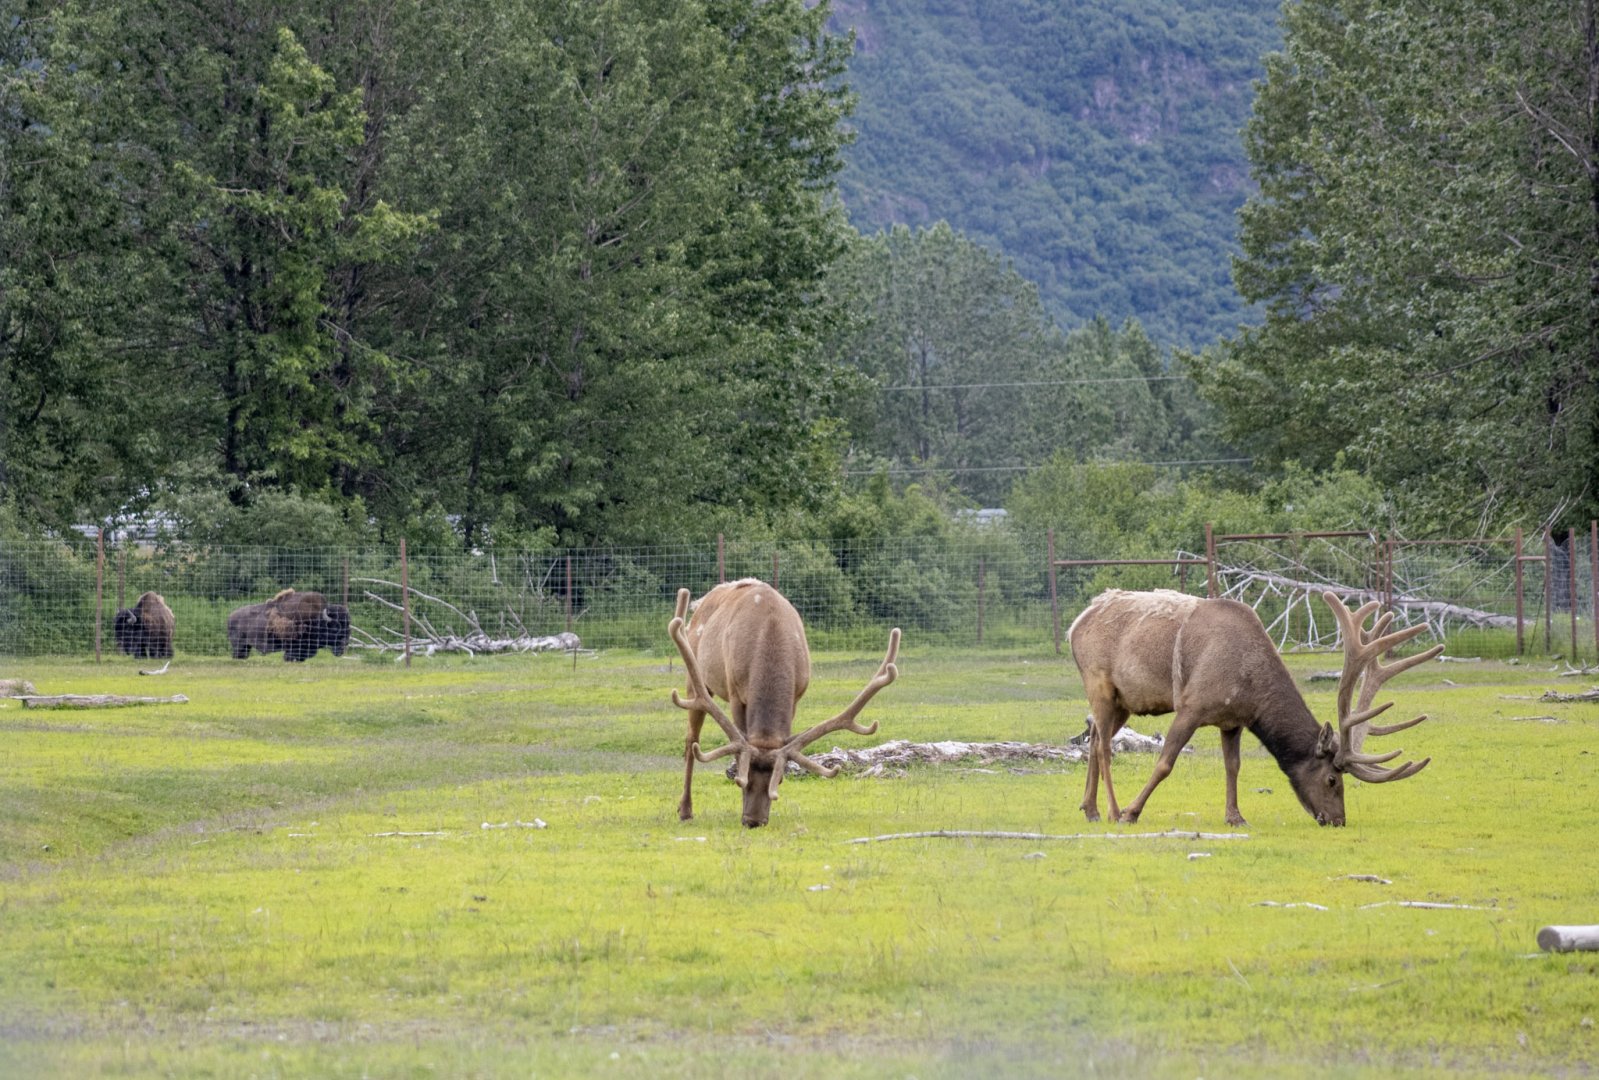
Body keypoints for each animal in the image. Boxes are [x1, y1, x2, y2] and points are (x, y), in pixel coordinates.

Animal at [666, 579, 901, 828]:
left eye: (777, 781)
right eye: (742, 779)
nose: (753, 821)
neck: (770, 632)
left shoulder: (797, 695)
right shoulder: (735, 692)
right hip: (695, 680)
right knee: (691, 741)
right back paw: (685, 810)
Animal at [1068, 588, 1443, 827]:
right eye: (1332, 779)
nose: (1338, 820)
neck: (1250, 686)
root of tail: (1075, 624)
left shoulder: (1232, 719)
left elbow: (1233, 767)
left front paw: (1235, 817)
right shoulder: (1191, 705)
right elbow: (1164, 763)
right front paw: (1133, 812)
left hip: (1123, 701)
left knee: (1094, 738)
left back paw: (1090, 809)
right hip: (1099, 683)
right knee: (1103, 747)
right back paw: (1113, 811)